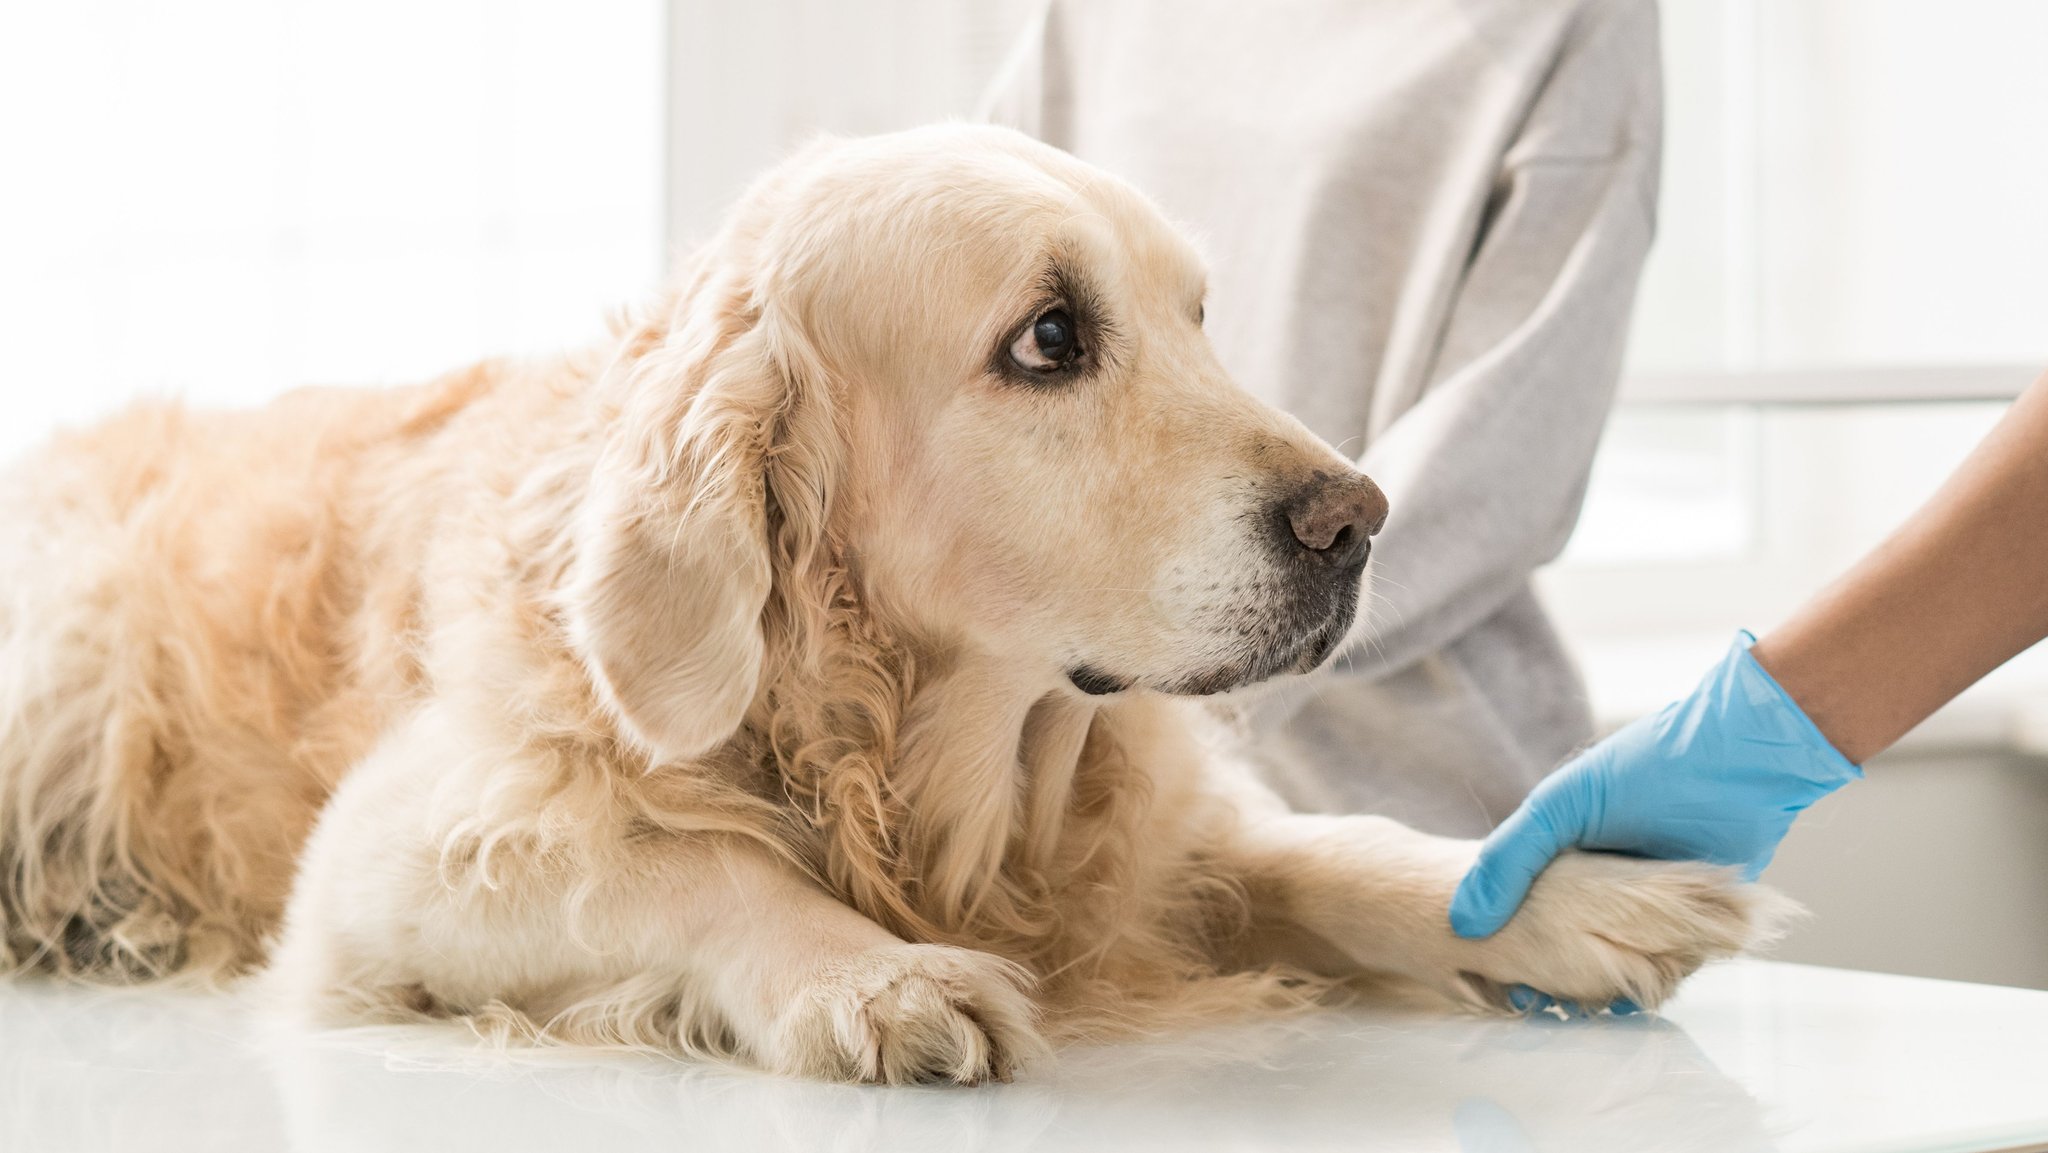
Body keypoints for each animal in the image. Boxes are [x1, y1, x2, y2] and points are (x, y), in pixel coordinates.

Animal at [0, 128, 1794, 1089]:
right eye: (1051, 337)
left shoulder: (1136, 832)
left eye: (1198, 317)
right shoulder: (397, 856)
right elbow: (688, 860)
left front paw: (1565, 895)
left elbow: (1320, 851)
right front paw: (872, 978)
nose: (1358, 520)